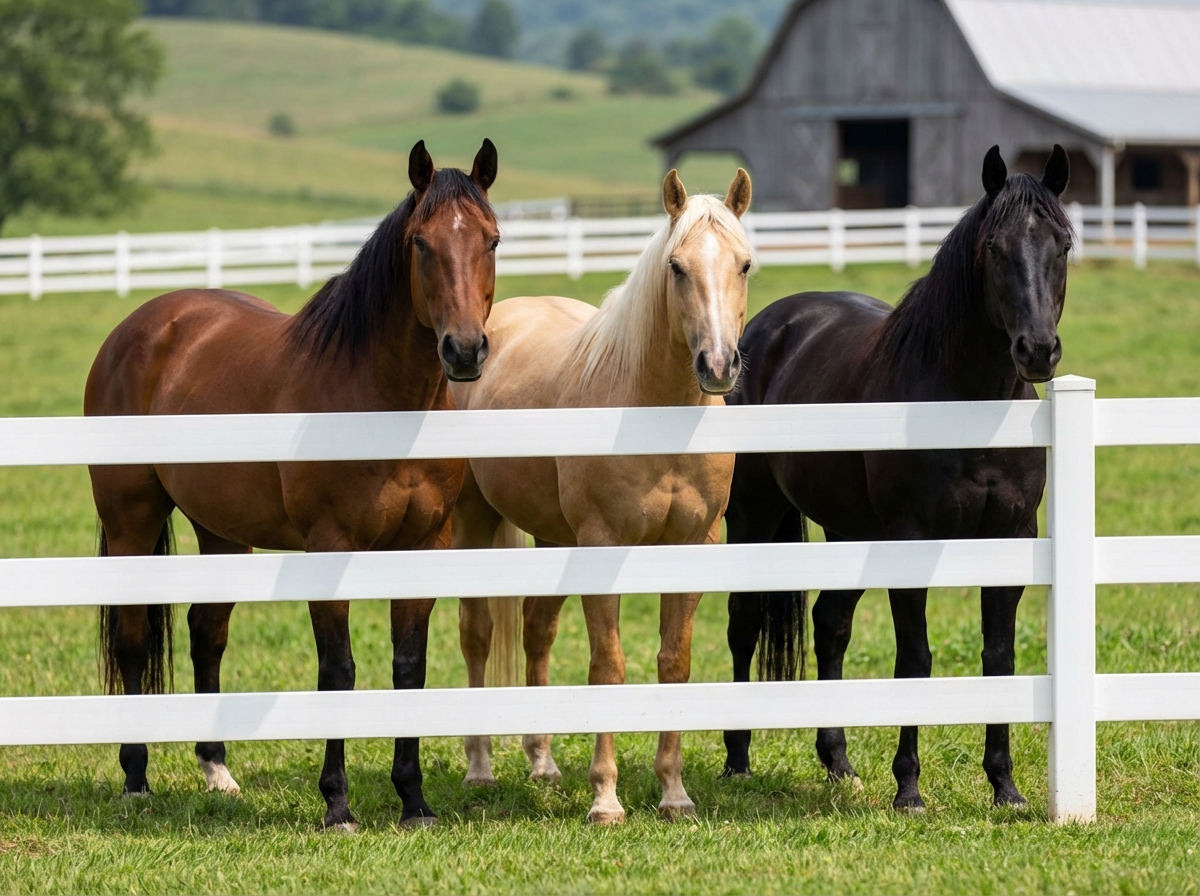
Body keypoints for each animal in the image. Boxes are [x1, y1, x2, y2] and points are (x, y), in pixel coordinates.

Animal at [85, 139, 500, 831]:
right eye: (421, 243)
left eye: (491, 240)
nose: (464, 351)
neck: (381, 400)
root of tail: (138, 327)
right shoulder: (329, 548)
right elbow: (338, 670)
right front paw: (337, 804)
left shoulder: (425, 546)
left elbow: (408, 670)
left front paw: (414, 800)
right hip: (131, 522)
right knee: (135, 638)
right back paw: (136, 781)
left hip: (221, 532)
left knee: (206, 632)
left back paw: (217, 771)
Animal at [448, 169, 754, 824]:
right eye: (676, 267)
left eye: (744, 264)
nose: (717, 365)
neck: (652, 410)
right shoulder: (602, 544)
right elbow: (607, 667)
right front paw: (606, 798)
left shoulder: (692, 545)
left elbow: (674, 663)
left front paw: (674, 792)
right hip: (474, 523)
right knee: (477, 633)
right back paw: (480, 766)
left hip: (551, 535)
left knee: (536, 632)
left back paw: (542, 761)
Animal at [721, 145, 1072, 812]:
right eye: (995, 249)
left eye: (1063, 243)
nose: (1037, 351)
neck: (965, 404)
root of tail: (772, 326)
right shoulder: (912, 540)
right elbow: (916, 658)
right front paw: (908, 787)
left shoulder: (1011, 537)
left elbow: (999, 656)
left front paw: (1005, 786)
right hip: (752, 518)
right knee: (744, 623)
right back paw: (736, 758)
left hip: (852, 530)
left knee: (830, 625)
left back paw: (837, 760)